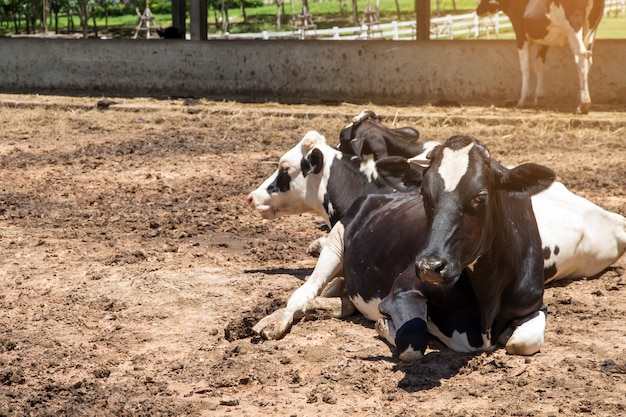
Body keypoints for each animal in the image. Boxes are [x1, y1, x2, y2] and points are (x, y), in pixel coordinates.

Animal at [251, 136, 552, 358]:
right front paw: (386, 324)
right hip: (336, 242)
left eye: (480, 196)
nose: (429, 266)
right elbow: (411, 343)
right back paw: (275, 321)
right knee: (304, 292)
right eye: (424, 193)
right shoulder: (401, 290)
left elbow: (522, 343)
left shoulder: (534, 303)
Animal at [476, 0, 604, 114]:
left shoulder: (520, 33)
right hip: (592, 26)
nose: (478, 10)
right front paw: (539, 97)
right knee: (588, 57)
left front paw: (522, 100)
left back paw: (584, 104)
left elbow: (525, 67)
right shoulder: (544, 38)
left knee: (581, 56)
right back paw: (579, 99)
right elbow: (538, 64)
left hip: (573, 26)